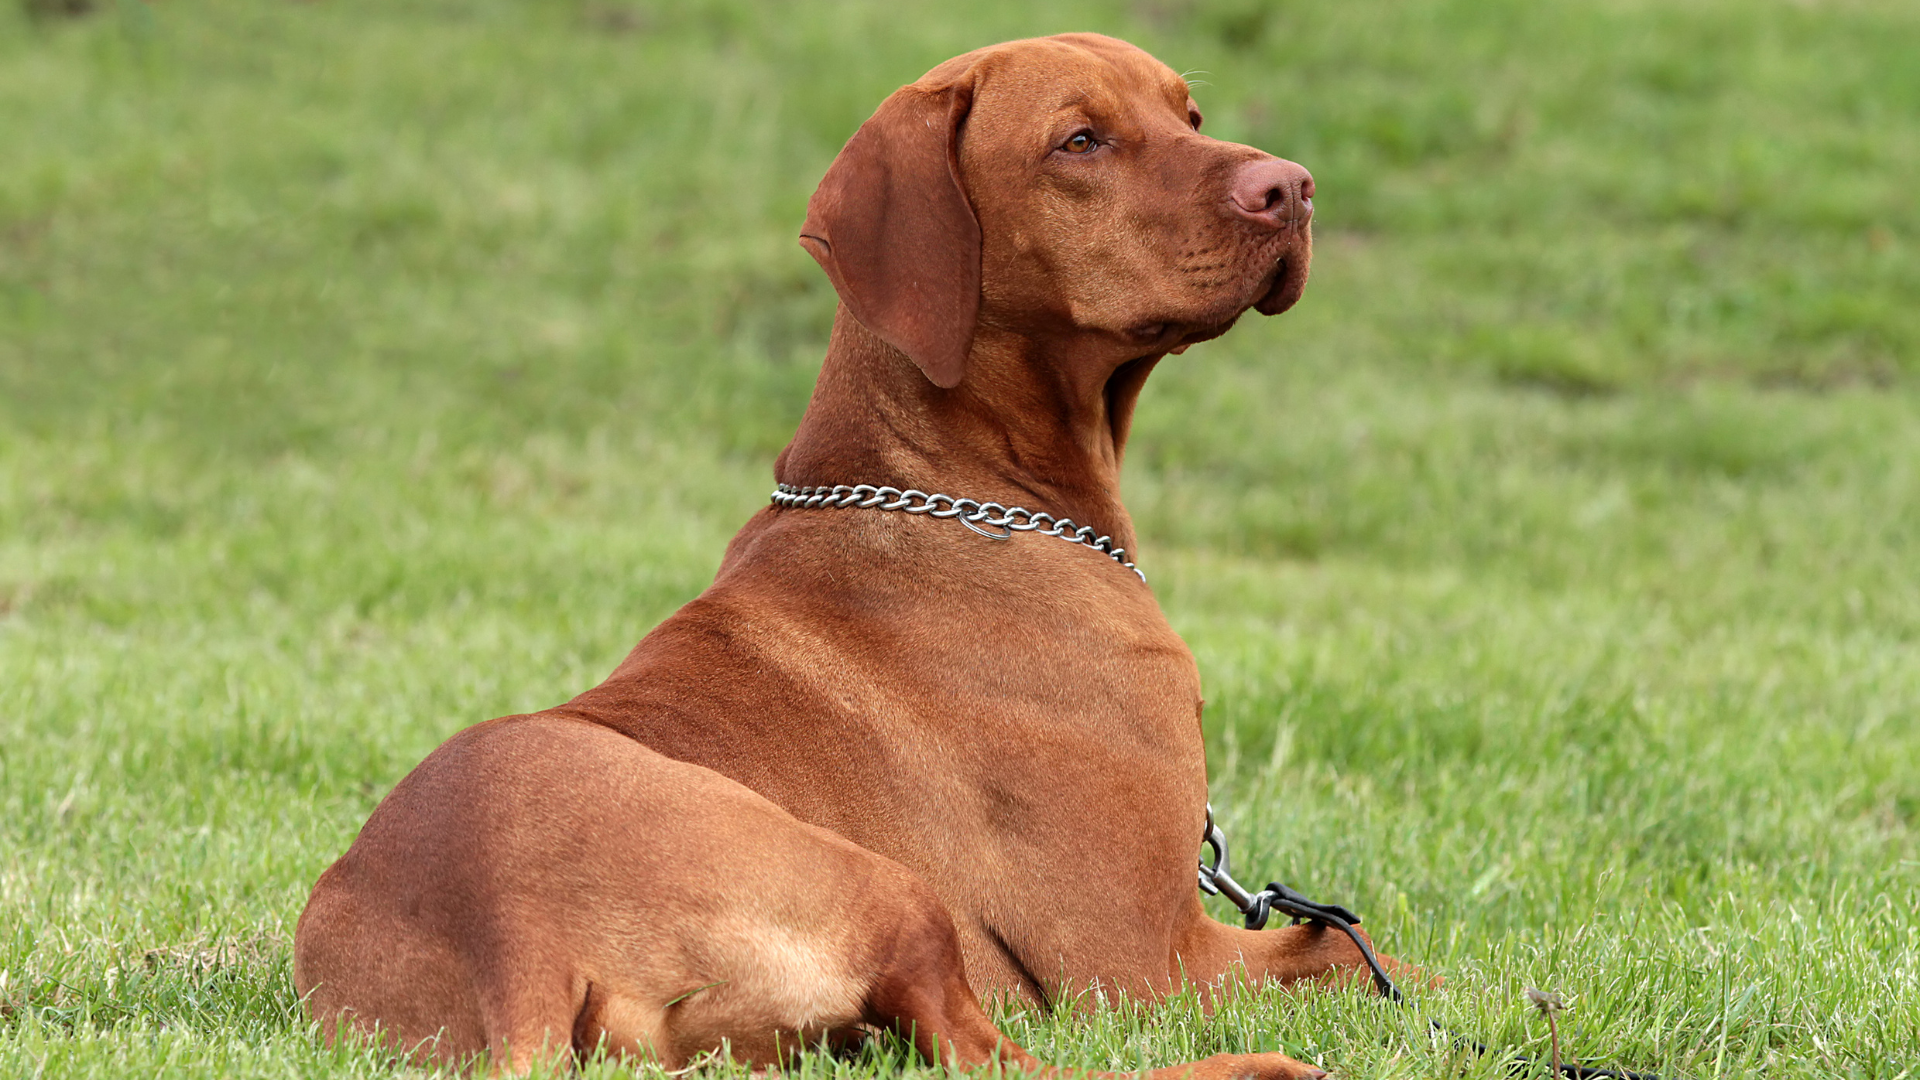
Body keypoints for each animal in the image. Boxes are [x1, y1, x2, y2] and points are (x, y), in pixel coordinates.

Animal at [291, 31, 1390, 1068]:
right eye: (1080, 141)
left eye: (1189, 115)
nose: (1292, 187)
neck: (960, 491)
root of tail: (510, 934)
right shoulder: (1147, 960)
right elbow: (1365, 951)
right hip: (892, 892)